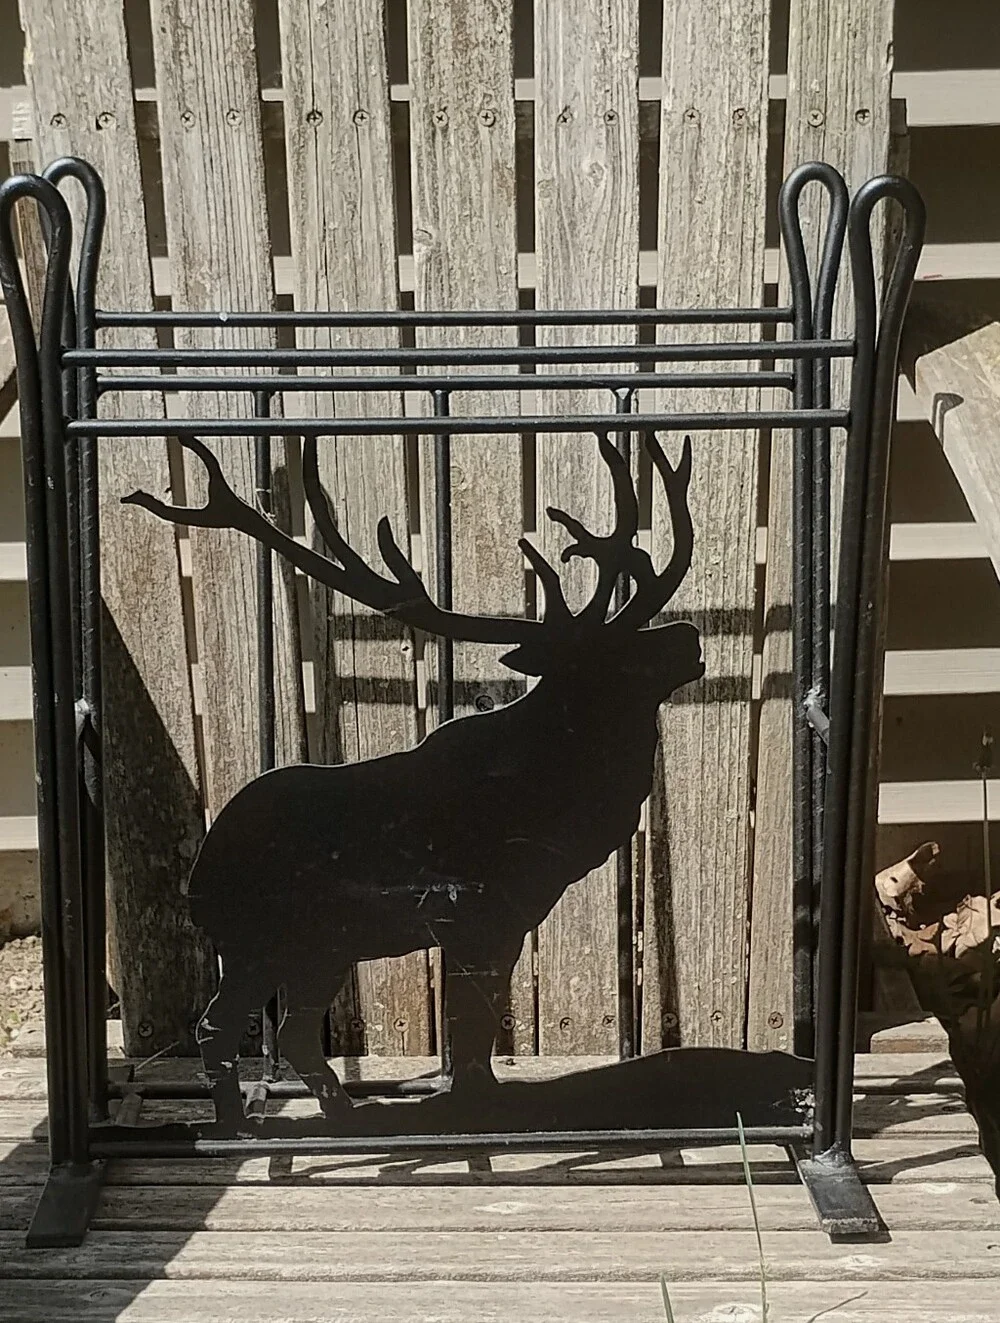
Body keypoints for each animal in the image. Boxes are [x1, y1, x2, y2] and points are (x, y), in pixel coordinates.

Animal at [125, 428, 703, 1133]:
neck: (559, 802)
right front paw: (478, 1107)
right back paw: (238, 1126)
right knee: (219, 1026)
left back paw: (346, 1113)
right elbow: (472, 1023)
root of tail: (199, 880)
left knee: (292, 1031)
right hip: (256, 940)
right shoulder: (479, 915)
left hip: (322, 948)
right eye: (608, 654)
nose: (688, 637)